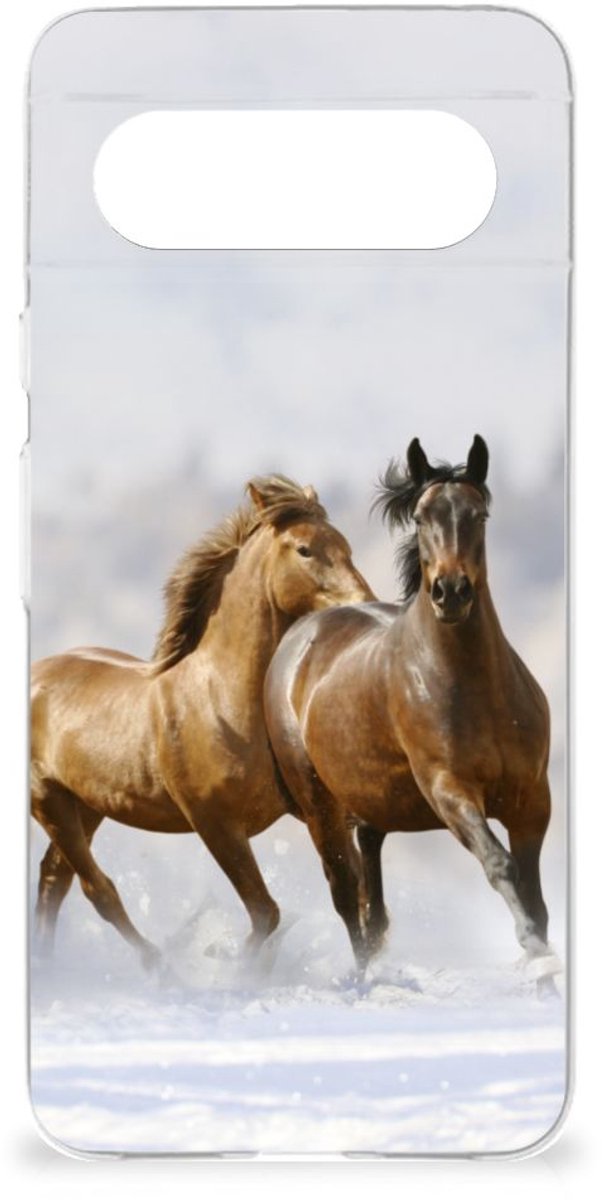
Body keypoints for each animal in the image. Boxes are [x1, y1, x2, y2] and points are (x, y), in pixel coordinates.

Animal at [31, 475, 374, 967]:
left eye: (346, 545)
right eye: (304, 549)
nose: (365, 604)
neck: (222, 701)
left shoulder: (315, 810)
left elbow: (349, 892)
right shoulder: (215, 824)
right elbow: (266, 913)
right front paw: (229, 963)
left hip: (87, 805)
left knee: (53, 880)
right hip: (49, 801)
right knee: (97, 889)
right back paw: (158, 965)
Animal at [264, 437, 554, 977]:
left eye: (479, 514)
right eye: (420, 517)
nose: (451, 592)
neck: (475, 690)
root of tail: (299, 635)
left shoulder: (532, 800)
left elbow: (534, 894)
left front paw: (542, 959)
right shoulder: (450, 791)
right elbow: (499, 864)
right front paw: (534, 951)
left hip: (370, 803)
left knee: (371, 900)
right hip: (319, 807)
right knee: (345, 895)